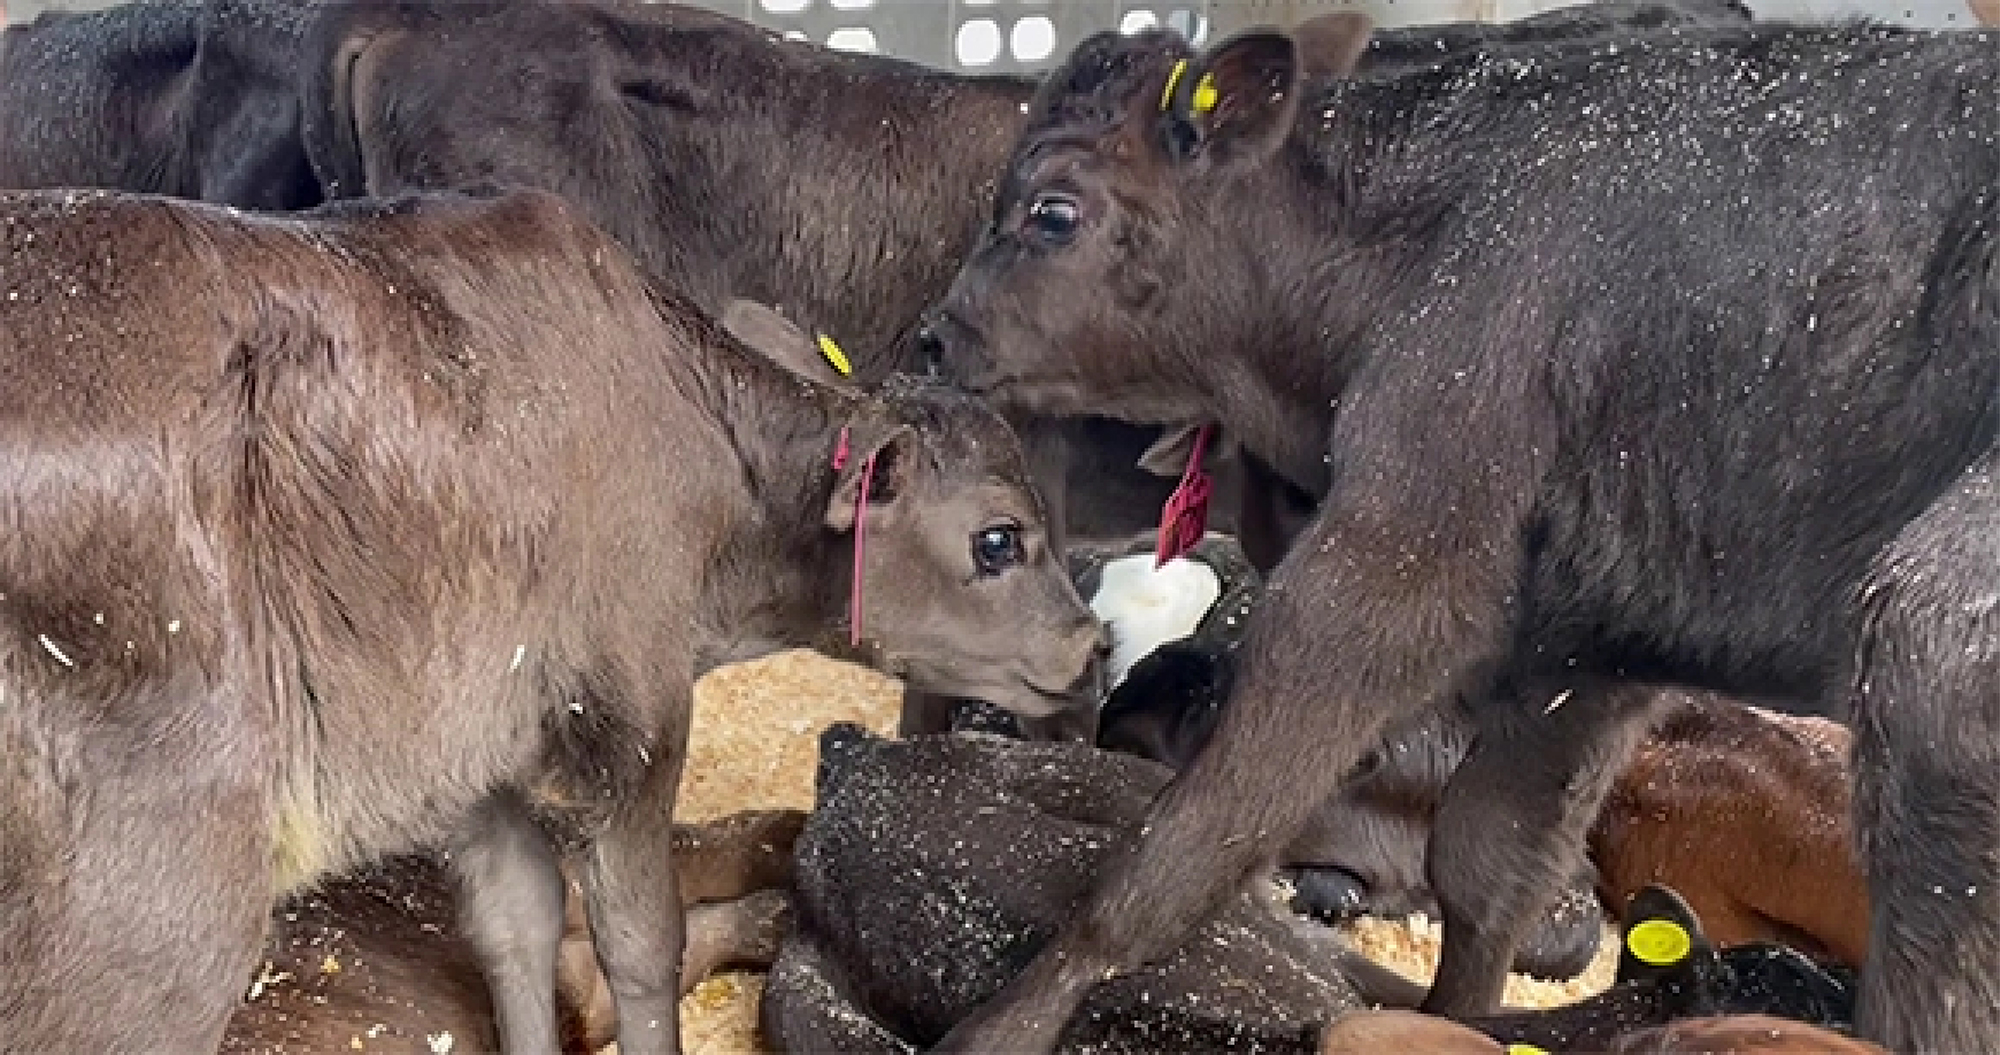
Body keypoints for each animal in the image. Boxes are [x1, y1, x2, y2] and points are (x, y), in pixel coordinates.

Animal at [0, 185, 1102, 1053]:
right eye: (998, 539)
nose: (1090, 643)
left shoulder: (472, 742)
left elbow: (515, 924)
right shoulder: (634, 711)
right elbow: (641, 943)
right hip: (157, 911)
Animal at [921, 14, 2000, 1052]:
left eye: (1051, 211)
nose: (933, 335)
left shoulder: (1389, 565)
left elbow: (1180, 846)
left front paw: (998, 1028)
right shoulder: (1577, 655)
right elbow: (1488, 868)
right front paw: (1454, 1021)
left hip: (1933, 653)